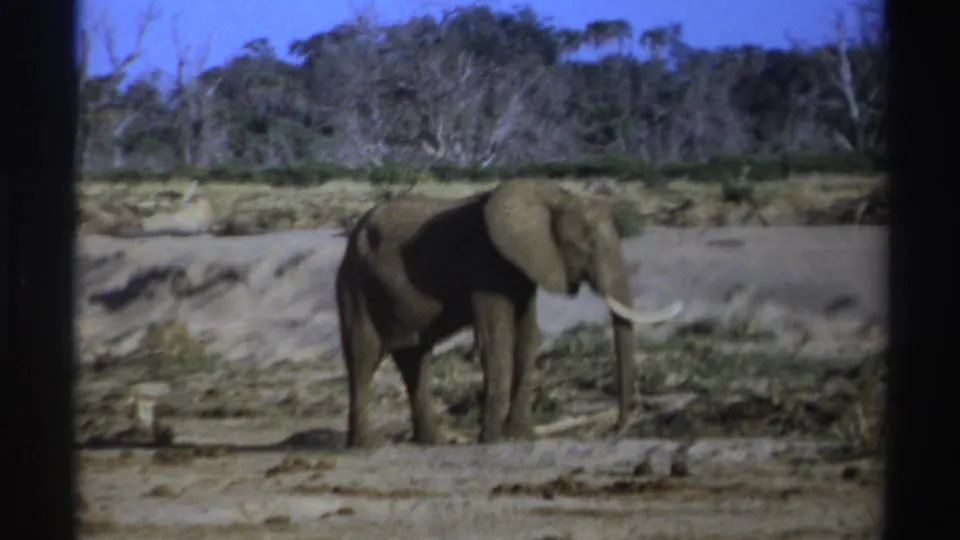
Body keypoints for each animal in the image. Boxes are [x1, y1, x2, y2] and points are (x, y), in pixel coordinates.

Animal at [334, 179, 683, 448]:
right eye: (587, 243)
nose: (616, 428)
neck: (553, 195)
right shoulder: (485, 263)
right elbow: (496, 339)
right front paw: (491, 440)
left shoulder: (523, 268)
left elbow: (527, 338)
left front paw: (521, 436)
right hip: (356, 284)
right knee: (364, 356)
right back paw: (368, 445)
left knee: (415, 360)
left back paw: (430, 443)